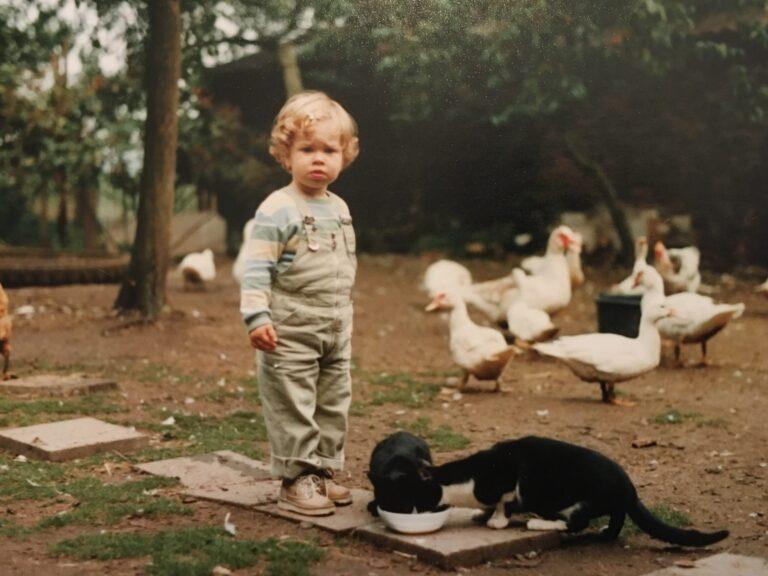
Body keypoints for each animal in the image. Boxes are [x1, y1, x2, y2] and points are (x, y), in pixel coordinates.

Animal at [416, 436, 728, 544]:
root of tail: (629, 487)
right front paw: (482, 515)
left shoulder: (508, 483)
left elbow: (505, 502)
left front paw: (496, 520)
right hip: (611, 505)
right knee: (615, 519)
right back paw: (606, 535)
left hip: (578, 502)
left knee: (577, 524)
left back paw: (539, 523)